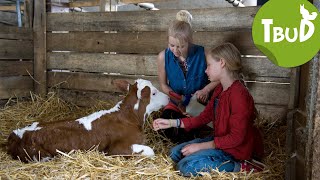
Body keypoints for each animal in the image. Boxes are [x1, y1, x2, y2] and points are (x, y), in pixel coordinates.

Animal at [7, 79, 169, 162]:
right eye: (154, 93)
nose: (168, 97)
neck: (130, 117)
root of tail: (15, 133)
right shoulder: (115, 149)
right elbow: (150, 150)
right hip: (39, 154)